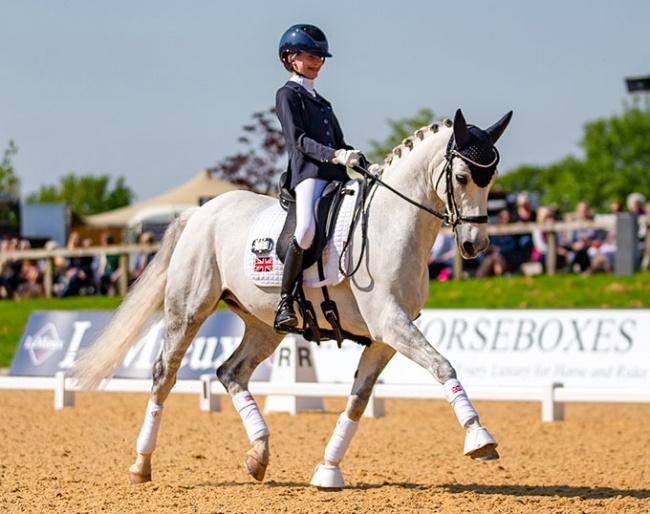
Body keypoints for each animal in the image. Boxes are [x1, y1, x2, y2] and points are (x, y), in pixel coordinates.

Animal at [73, 109, 512, 488]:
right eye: (461, 176)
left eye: (490, 179)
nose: (474, 245)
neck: (390, 224)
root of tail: (200, 212)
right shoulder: (391, 322)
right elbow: (443, 366)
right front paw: (480, 438)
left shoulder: (384, 337)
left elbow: (358, 400)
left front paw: (328, 470)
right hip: (189, 310)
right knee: (165, 374)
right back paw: (141, 464)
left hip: (265, 325)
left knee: (231, 372)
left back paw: (258, 454)